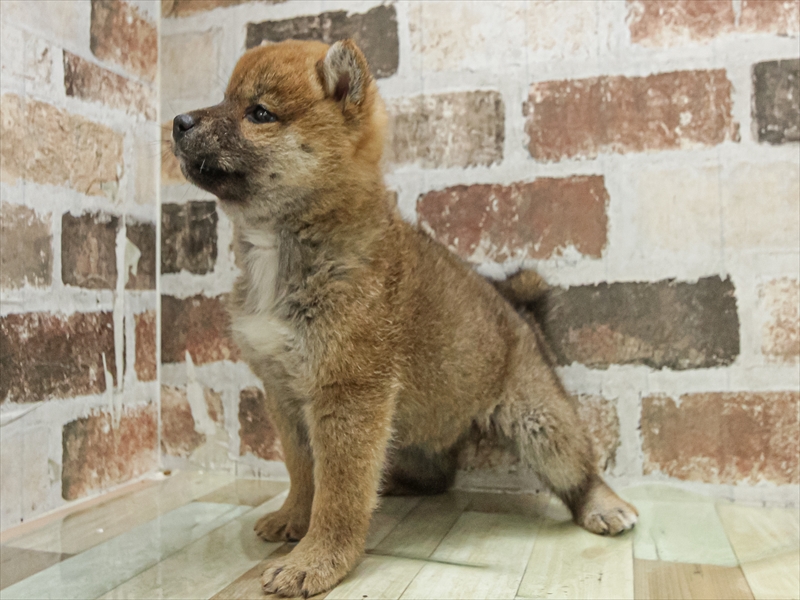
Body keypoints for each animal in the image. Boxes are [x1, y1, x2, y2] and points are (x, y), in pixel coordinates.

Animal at [172, 38, 637, 597]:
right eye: (224, 100)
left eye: (259, 113)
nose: (178, 121)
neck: (288, 244)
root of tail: (514, 309)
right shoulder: (284, 393)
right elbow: (303, 471)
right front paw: (293, 519)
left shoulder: (348, 395)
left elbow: (340, 492)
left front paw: (318, 559)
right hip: (414, 427)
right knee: (438, 474)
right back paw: (393, 483)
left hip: (540, 423)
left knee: (578, 467)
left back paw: (604, 506)